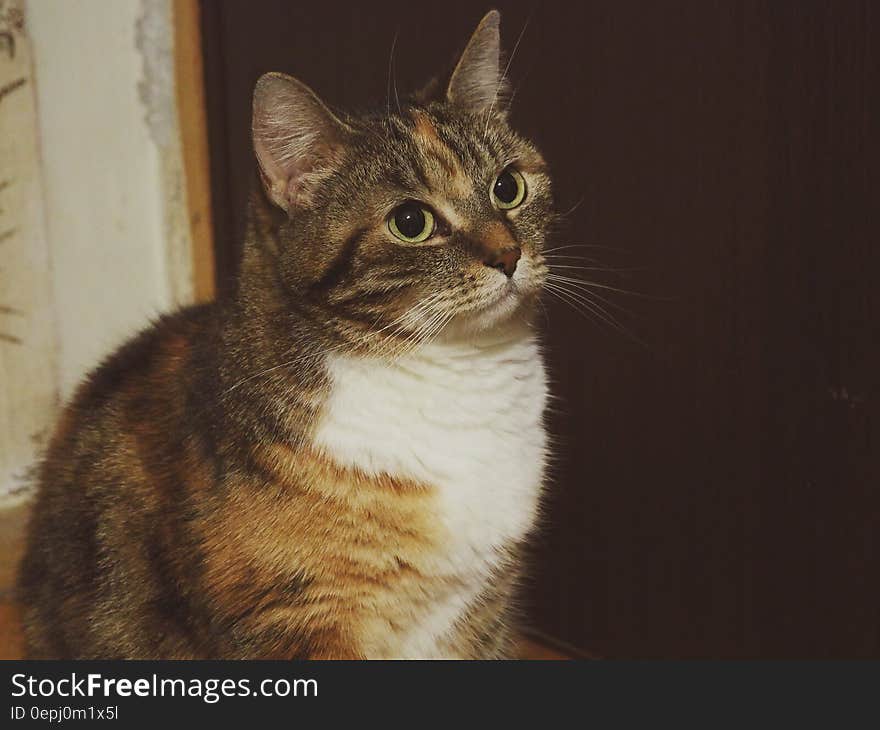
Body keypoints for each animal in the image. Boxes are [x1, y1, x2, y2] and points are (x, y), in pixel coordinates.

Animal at [17, 9, 552, 660]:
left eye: (508, 187)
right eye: (411, 222)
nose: (509, 255)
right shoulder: (296, 618)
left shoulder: (482, 609)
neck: (460, 377)